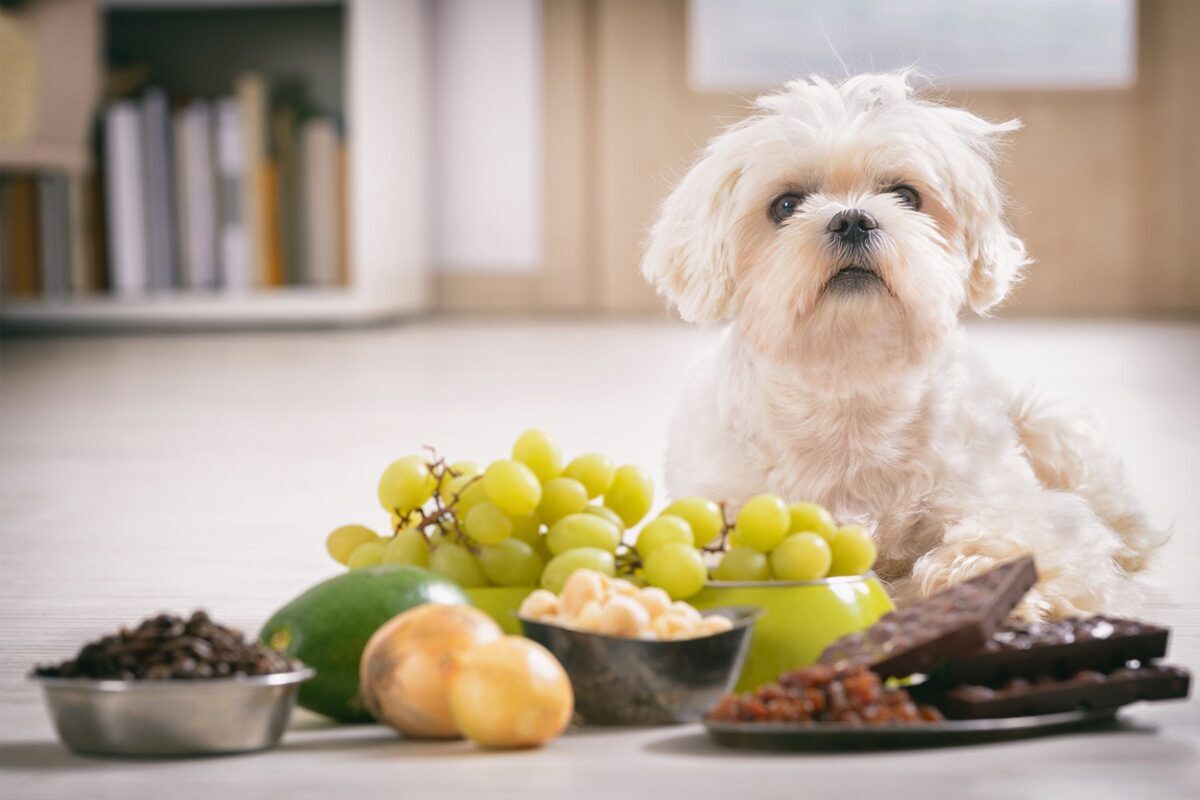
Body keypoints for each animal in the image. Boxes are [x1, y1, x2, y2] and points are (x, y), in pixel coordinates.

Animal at [648, 73, 1161, 618]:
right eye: (786, 205)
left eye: (905, 195)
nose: (852, 219)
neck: (852, 385)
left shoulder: (1019, 507)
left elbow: (1017, 537)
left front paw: (979, 579)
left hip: (1047, 427)